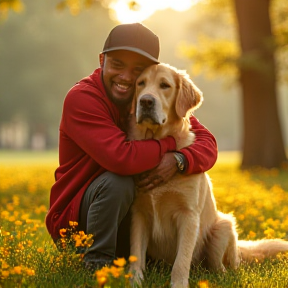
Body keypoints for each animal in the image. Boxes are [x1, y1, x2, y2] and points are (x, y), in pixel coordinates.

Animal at [128, 63, 288, 288]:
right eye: (140, 83)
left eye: (164, 85)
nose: (146, 101)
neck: (157, 142)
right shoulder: (139, 212)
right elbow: (136, 254)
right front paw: (133, 281)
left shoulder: (188, 215)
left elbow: (181, 261)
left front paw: (178, 284)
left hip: (222, 227)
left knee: (223, 268)